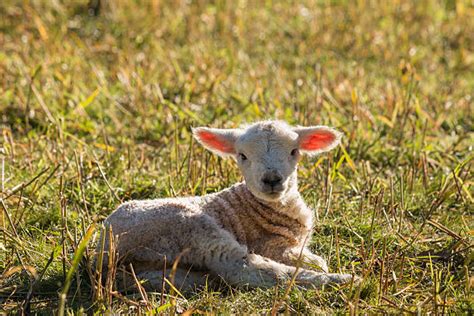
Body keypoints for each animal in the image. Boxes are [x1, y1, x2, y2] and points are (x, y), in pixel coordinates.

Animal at [102, 120, 358, 292]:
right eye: (242, 156)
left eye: (294, 151)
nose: (272, 179)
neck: (256, 206)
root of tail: (106, 252)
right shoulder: (272, 246)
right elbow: (317, 262)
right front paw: (321, 268)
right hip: (192, 228)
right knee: (246, 268)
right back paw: (345, 280)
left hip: (158, 271)